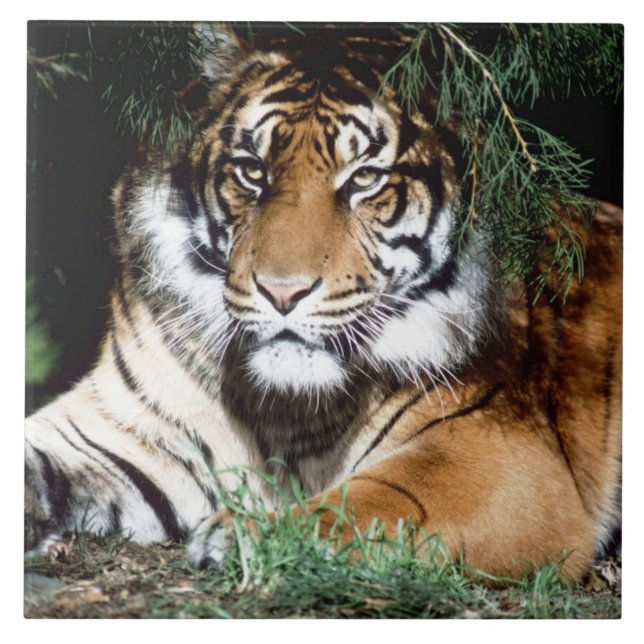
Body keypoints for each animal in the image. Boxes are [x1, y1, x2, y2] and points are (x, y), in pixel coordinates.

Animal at [25, 23, 622, 581]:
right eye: (252, 171)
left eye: (364, 179)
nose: (282, 291)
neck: (281, 408)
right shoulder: (120, 427)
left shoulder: (500, 458)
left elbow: (375, 502)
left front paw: (244, 536)